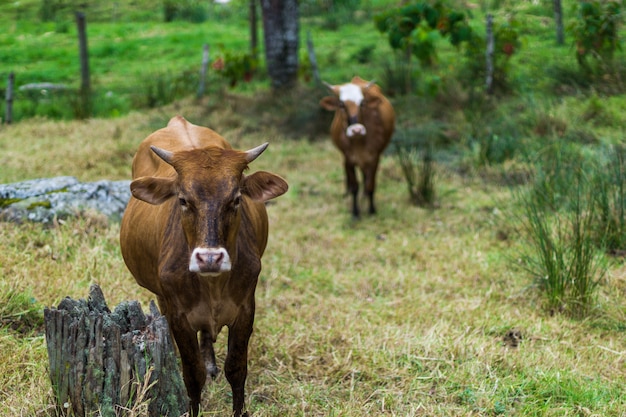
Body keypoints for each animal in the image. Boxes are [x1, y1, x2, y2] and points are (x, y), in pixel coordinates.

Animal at [119, 116, 288, 416]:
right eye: (183, 200)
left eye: (236, 199)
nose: (210, 258)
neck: (213, 285)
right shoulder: (179, 316)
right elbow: (192, 374)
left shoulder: (246, 309)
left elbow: (236, 369)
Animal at [320, 75, 392, 218]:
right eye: (341, 105)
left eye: (362, 103)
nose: (356, 129)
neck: (359, 142)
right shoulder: (349, 159)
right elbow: (354, 187)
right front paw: (355, 212)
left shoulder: (374, 158)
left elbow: (370, 185)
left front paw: (371, 210)